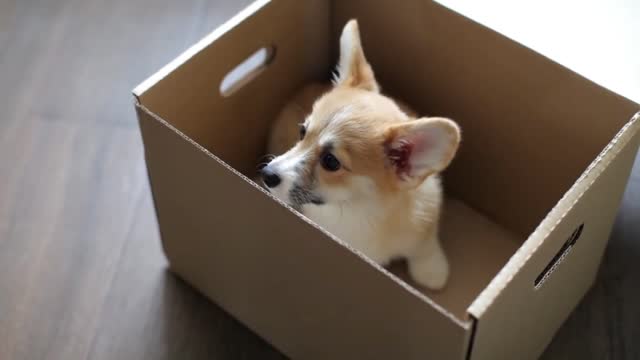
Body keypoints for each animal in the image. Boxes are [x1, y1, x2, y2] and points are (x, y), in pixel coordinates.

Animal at [260, 19, 460, 290]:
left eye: (330, 161)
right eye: (302, 132)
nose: (266, 174)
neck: (362, 212)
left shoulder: (426, 216)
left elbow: (425, 246)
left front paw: (432, 271)